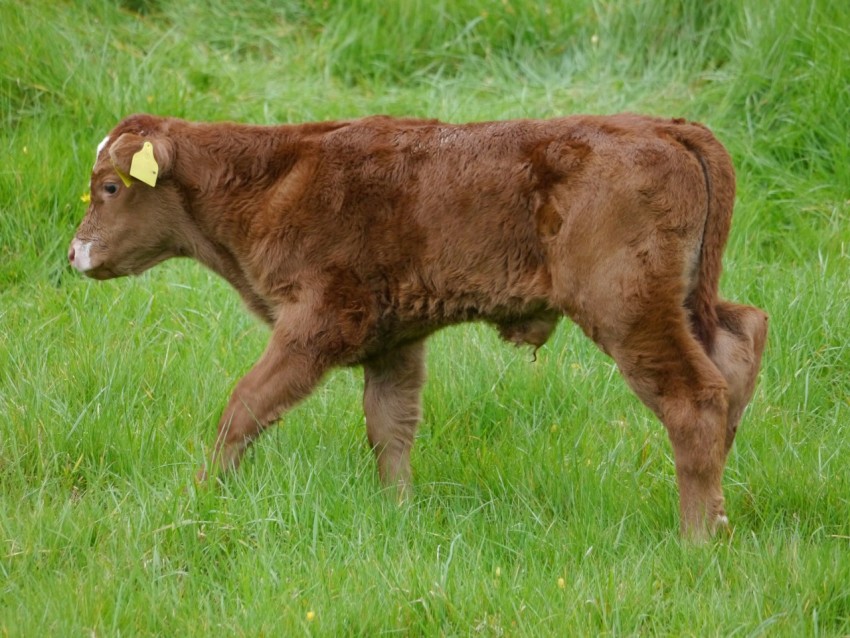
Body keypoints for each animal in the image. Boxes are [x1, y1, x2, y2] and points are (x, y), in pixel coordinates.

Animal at [69, 113, 767, 539]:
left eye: (110, 186)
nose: (75, 254)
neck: (275, 178)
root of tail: (663, 126)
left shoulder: (315, 324)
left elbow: (245, 406)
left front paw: (200, 495)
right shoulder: (393, 342)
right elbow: (390, 427)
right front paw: (399, 514)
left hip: (627, 307)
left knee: (694, 396)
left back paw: (695, 537)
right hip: (686, 301)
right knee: (742, 338)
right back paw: (721, 516)